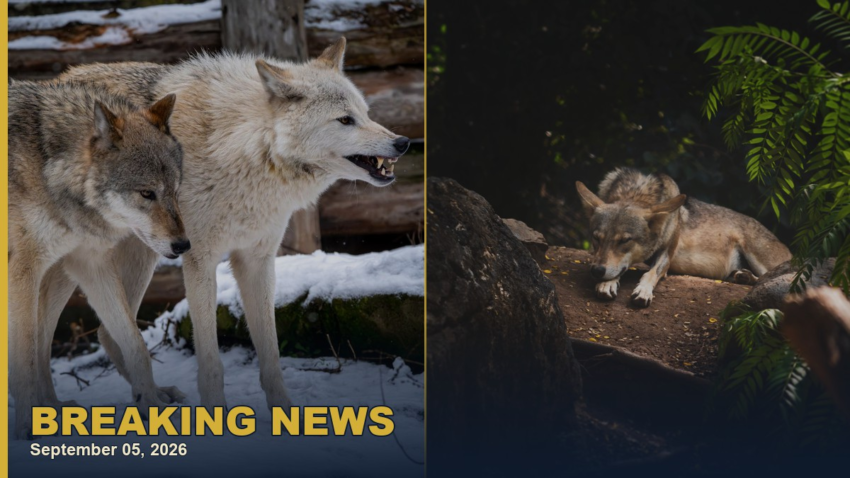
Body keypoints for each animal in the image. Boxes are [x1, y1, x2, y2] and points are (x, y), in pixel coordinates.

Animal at [9, 80, 189, 438]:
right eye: (146, 193)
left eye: (175, 192)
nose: (183, 245)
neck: (47, 166)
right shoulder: (23, 270)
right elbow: (24, 357)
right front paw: (24, 427)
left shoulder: (89, 263)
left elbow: (135, 343)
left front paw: (150, 401)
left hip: (60, 274)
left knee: (45, 343)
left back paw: (53, 409)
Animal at [58, 38, 411, 409]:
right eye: (345, 119)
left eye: (366, 114)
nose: (402, 142)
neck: (247, 147)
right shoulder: (199, 261)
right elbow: (212, 363)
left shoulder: (257, 261)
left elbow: (270, 355)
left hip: (140, 258)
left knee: (107, 334)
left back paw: (154, 396)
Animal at [576, 168, 791, 308]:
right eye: (596, 238)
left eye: (624, 240)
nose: (597, 271)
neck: (638, 193)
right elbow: (618, 269)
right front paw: (607, 283)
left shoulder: (666, 255)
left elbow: (650, 274)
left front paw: (643, 291)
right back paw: (740, 276)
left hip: (759, 256)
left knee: (773, 278)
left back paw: (745, 276)